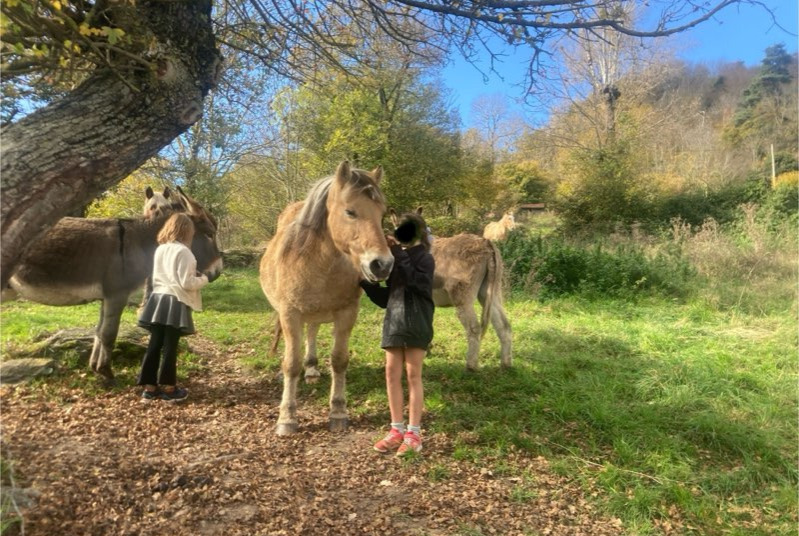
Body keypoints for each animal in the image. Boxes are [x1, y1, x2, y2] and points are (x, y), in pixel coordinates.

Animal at [7, 186, 223, 378]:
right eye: (209, 234)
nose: (217, 273)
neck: (138, 243)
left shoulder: (106, 297)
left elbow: (98, 331)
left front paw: (95, 367)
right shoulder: (117, 295)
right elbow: (109, 334)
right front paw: (106, 372)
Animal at [260, 162, 396, 436]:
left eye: (382, 214)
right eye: (350, 211)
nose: (382, 265)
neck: (316, 262)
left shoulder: (347, 313)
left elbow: (339, 360)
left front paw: (338, 412)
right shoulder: (290, 314)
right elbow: (291, 363)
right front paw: (287, 417)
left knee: (312, 331)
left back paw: (312, 368)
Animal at [432, 232, 512, 370]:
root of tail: (485, 242)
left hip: (463, 299)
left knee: (474, 328)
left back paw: (471, 366)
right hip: (491, 293)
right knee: (503, 325)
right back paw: (506, 364)